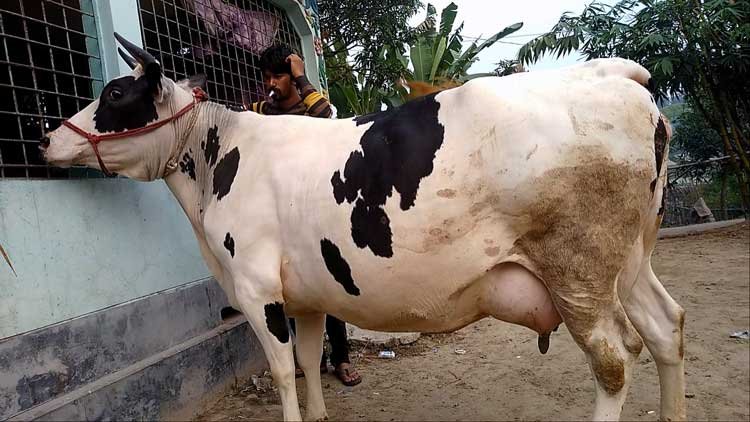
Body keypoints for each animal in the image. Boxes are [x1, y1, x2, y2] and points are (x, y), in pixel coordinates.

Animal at [41, 33, 685, 421]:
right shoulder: (303, 295)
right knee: (665, 326)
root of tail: (609, 75)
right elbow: (308, 361)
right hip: (631, 261)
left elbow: (281, 370)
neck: (218, 155)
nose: (47, 137)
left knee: (614, 359)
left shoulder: (256, 288)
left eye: (115, 92)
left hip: (578, 271)